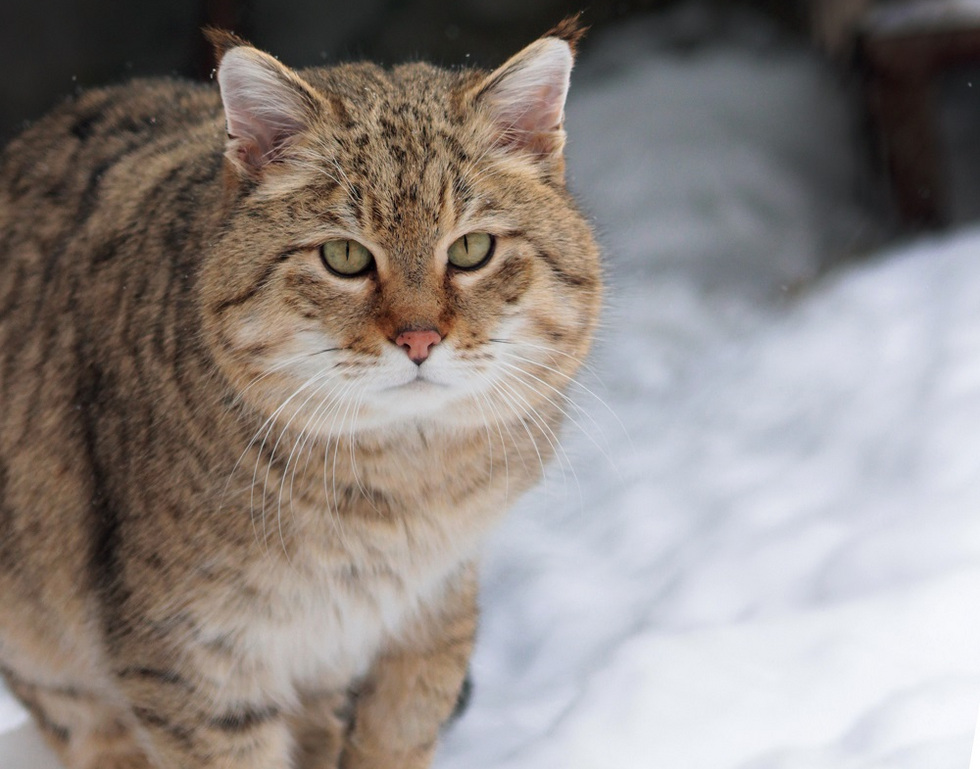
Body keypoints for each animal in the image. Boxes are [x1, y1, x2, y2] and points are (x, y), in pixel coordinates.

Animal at [0, 13, 596, 768]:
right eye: (344, 256)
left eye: (470, 250)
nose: (420, 339)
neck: (399, 490)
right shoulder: (193, 661)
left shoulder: (435, 607)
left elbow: (395, 734)